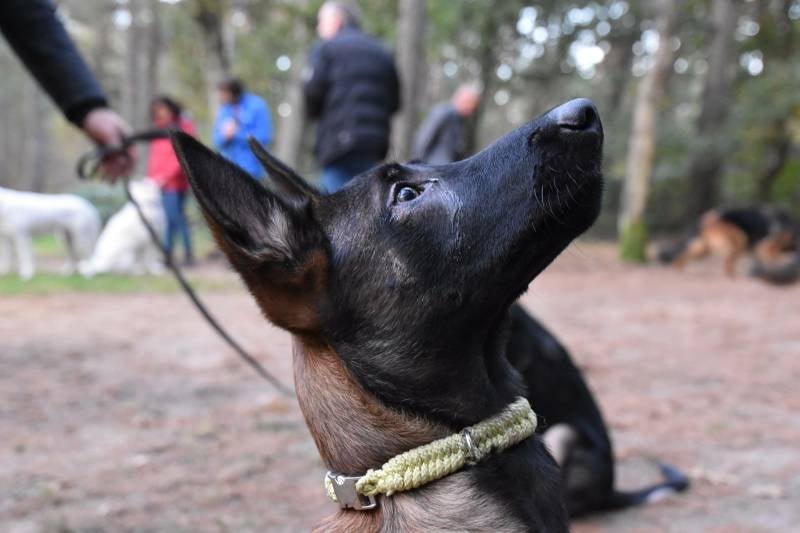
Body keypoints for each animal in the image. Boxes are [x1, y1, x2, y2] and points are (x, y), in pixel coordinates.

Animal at [658, 206, 797, 279]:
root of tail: (706, 218)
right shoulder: (767, 246)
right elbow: (775, 256)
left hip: (703, 249)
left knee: (683, 254)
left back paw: (679, 268)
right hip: (739, 239)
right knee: (727, 264)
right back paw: (734, 276)